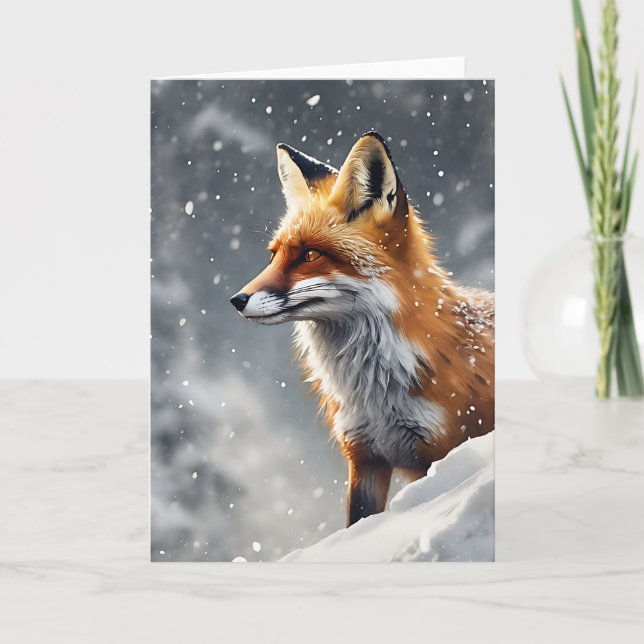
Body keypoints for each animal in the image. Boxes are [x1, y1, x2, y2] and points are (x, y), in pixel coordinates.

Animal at [230, 131, 494, 527]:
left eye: (310, 255)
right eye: (273, 255)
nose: (237, 299)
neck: (374, 392)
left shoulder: (438, 451)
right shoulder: (365, 456)